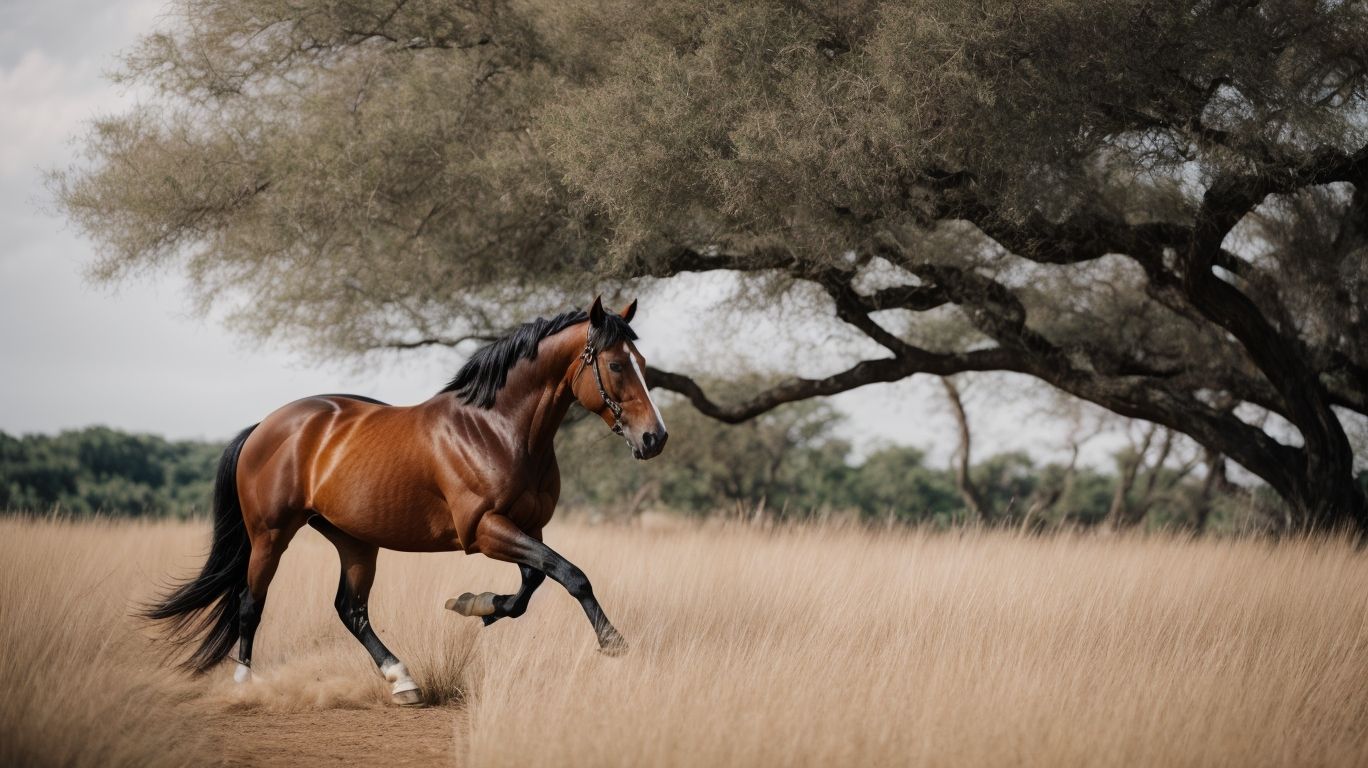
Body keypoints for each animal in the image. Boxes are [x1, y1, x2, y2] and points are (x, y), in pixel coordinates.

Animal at [142, 297, 668, 705]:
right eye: (617, 365)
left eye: (643, 364)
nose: (654, 438)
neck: (496, 429)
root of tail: (264, 427)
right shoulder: (484, 531)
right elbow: (571, 575)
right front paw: (613, 643)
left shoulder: (526, 528)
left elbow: (532, 584)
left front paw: (476, 604)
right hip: (270, 535)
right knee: (252, 602)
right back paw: (245, 684)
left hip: (354, 541)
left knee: (351, 610)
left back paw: (402, 681)